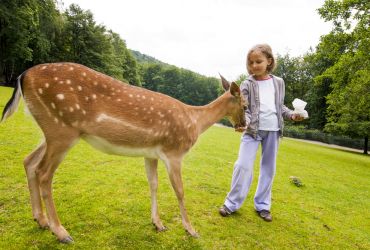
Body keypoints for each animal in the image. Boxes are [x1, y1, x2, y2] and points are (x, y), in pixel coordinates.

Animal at [2, 63, 249, 244]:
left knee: (29, 161)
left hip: (51, 131)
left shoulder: (152, 154)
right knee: (44, 173)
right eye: (245, 105)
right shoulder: (174, 152)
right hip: (61, 129)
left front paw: (158, 224)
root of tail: (23, 75)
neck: (195, 123)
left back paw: (41, 220)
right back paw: (61, 232)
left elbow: (153, 184)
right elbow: (180, 191)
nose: (243, 126)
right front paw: (191, 230)